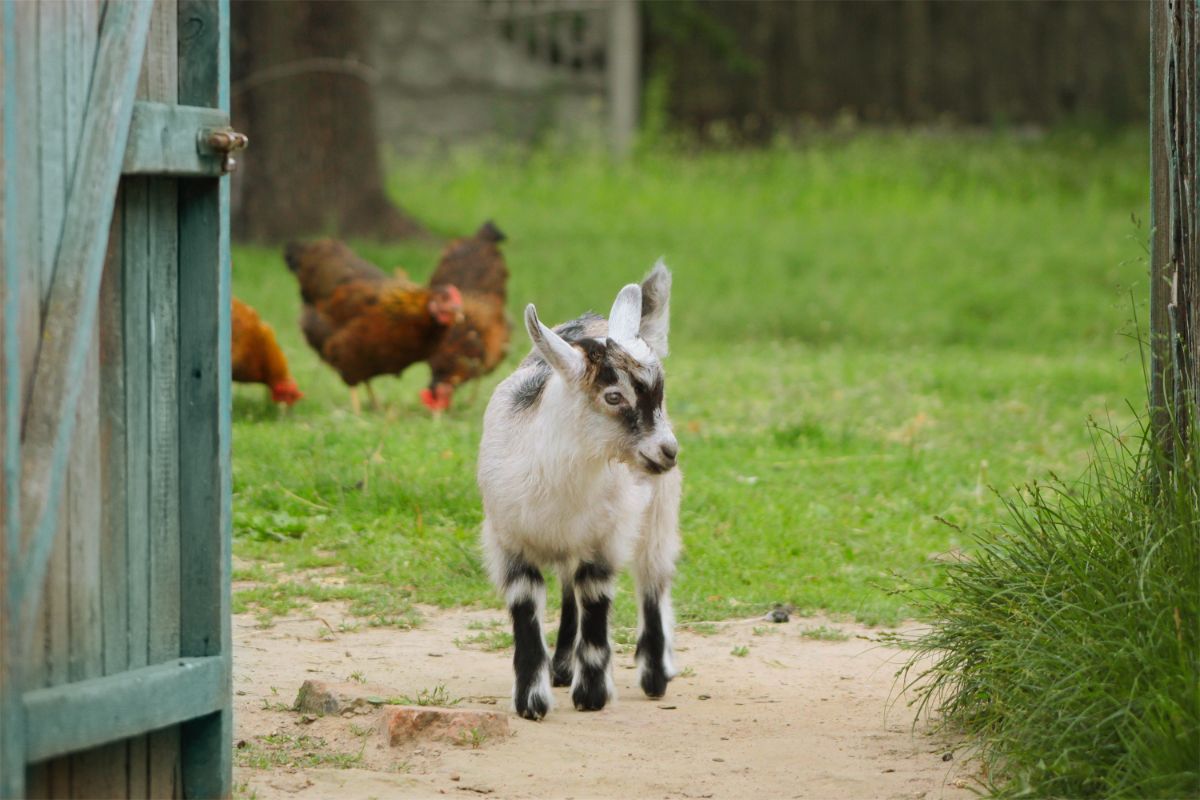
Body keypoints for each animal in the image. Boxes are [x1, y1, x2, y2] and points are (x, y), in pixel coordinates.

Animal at [477, 262, 686, 719]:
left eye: (660, 393)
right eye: (613, 397)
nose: (668, 451)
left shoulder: (606, 539)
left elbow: (595, 600)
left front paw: (591, 695)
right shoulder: (507, 539)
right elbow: (526, 606)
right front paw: (532, 702)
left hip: (659, 507)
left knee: (653, 575)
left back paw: (656, 672)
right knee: (568, 587)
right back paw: (560, 666)